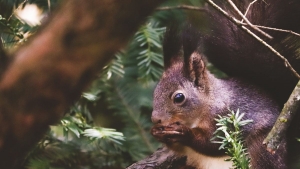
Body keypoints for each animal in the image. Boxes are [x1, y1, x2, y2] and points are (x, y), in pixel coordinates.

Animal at [151, 0, 300, 168]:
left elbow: (213, 143)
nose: (155, 119)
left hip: (263, 150)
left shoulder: (227, 118)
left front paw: (184, 133)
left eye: (179, 97)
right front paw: (156, 132)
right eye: (155, 92)